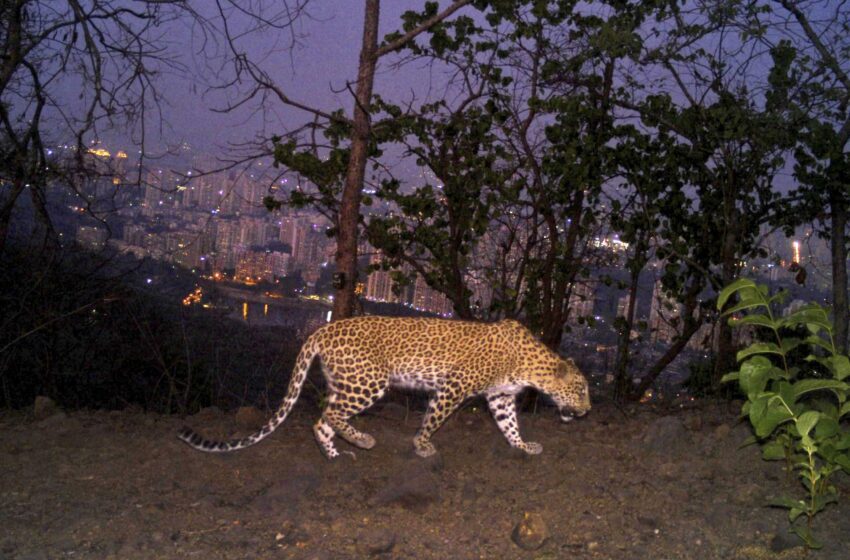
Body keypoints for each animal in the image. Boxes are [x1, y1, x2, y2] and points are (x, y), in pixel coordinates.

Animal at [179, 318, 588, 458]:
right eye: (582, 390)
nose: (587, 411)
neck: (531, 367)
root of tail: (322, 329)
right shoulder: (453, 387)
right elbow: (433, 419)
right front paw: (422, 446)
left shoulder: (500, 397)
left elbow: (509, 424)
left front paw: (523, 445)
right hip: (369, 382)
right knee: (328, 413)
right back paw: (362, 440)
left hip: (346, 382)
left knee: (322, 420)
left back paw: (336, 455)